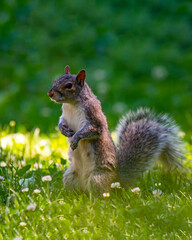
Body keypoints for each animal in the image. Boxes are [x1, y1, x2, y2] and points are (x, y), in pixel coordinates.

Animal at [48, 65, 184, 195]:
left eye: (68, 85)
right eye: (55, 80)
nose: (50, 93)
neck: (71, 104)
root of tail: (117, 180)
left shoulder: (93, 116)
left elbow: (93, 130)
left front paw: (75, 138)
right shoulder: (64, 115)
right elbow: (61, 122)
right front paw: (64, 130)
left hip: (97, 178)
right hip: (70, 176)